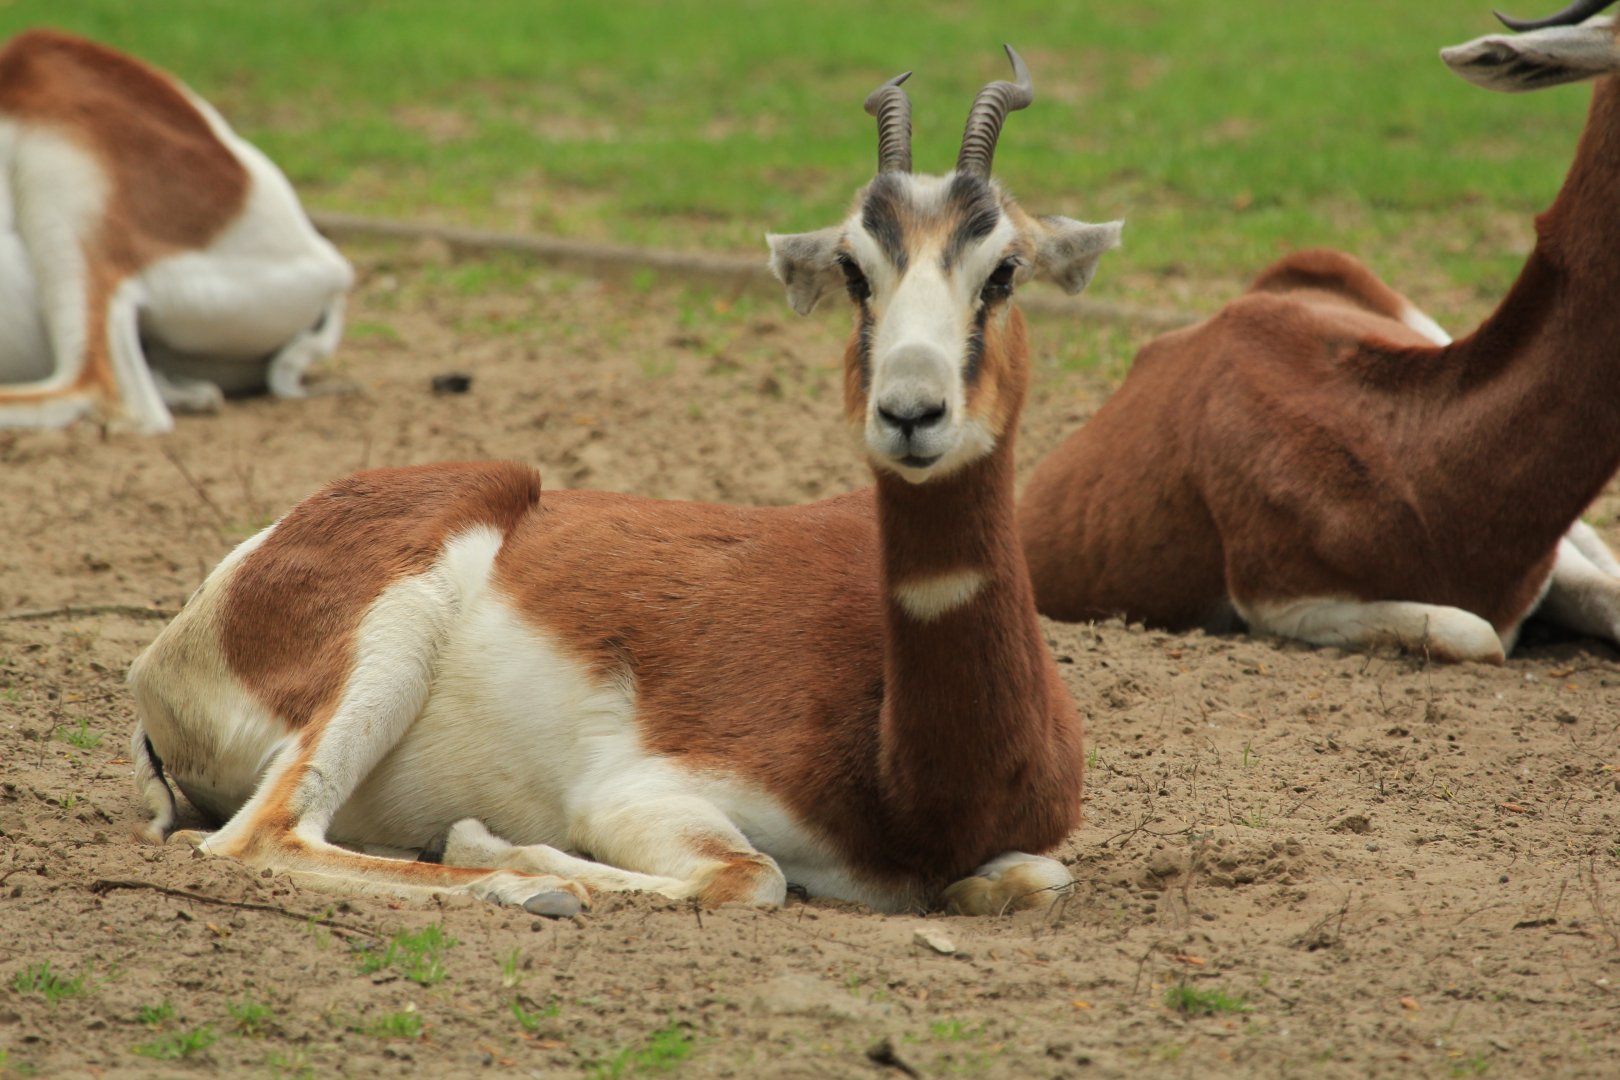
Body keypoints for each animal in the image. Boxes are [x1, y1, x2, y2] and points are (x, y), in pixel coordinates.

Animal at [125, 48, 1119, 915]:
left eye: (1004, 270)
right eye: (853, 269)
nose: (912, 411)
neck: (906, 777)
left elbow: (1044, 879)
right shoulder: (640, 795)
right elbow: (748, 876)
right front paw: (497, 846)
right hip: (386, 648)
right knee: (261, 836)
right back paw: (524, 884)